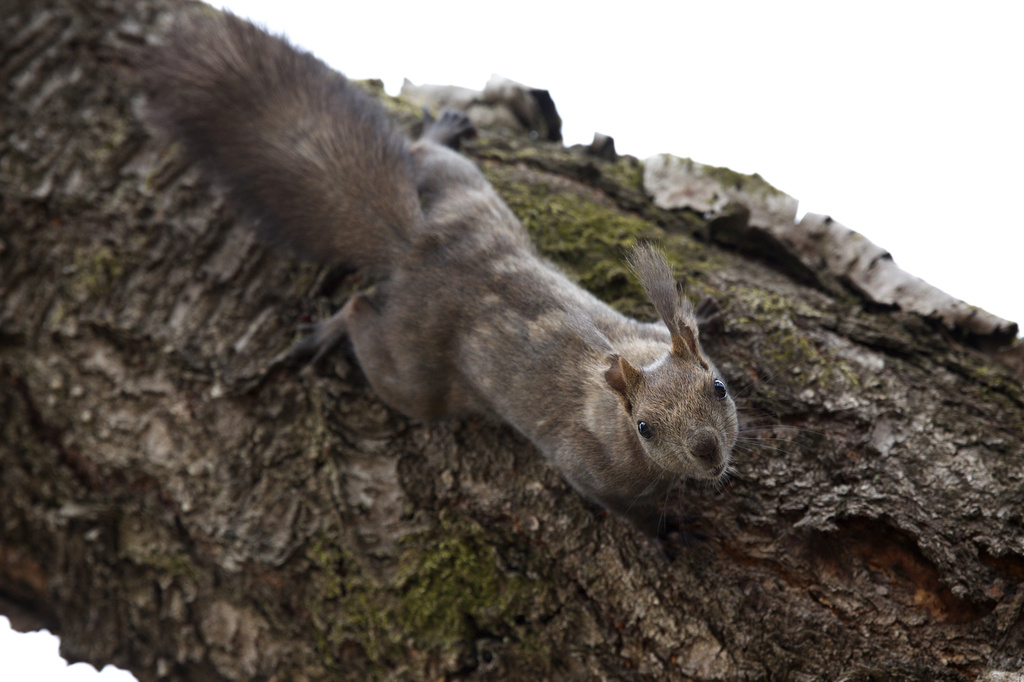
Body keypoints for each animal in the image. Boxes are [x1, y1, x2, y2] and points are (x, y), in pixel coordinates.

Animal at [144, 7, 737, 532]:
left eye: (719, 386)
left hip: (466, 191)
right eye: (645, 428)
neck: (619, 388)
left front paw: (705, 313)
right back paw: (332, 328)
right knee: (362, 312)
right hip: (411, 371)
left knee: (423, 154)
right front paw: (671, 530)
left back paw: (442, 132)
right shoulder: (588, 465)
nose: (709, 452)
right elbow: (623, 508)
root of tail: (414, 246)